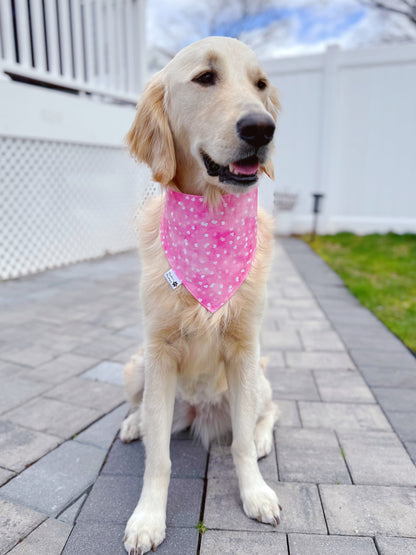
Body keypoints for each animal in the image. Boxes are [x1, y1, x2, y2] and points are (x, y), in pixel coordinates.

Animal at [122, 37, 282, 552]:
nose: (262, 128)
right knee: (147, 415)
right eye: (205, 78)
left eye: (261, 84)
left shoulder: (244, 349)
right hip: (138, 366)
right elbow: (158, 457)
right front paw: (148, 518)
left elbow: (242, 446)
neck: (211, 217)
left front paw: (255, 495)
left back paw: (264, 438)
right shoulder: (159, 351)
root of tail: (199, 412)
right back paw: (134, 423)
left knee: (266, 414)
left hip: (258, 377)